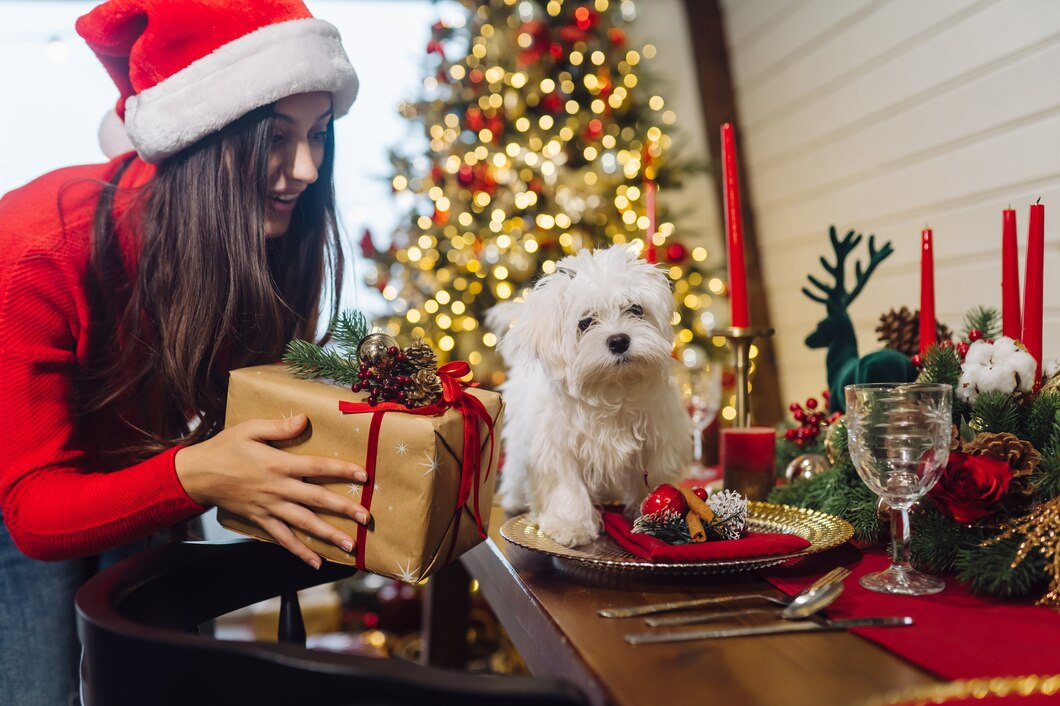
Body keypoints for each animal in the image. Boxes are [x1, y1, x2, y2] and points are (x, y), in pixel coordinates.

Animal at [485, 244, 691, 546]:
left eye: (635, 309)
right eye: (585, 322)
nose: (619, 340)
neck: (611, 387)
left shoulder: (657, 440)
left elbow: (654, 477)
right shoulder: (557, 446)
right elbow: (566, 486)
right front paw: (571, 526)